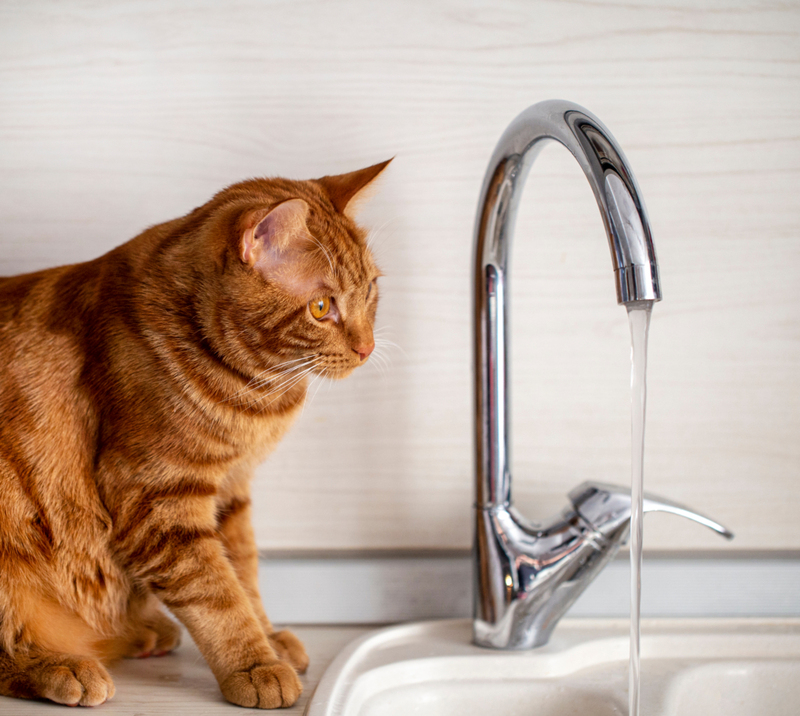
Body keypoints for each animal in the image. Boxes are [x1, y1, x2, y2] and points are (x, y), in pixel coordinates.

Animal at [0, 158, 390, 712]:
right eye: (321, 308)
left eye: (371, 291)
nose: (366, 347)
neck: (256, 393)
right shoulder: (157, 498)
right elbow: (216, 592)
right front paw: (254, 664)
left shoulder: (230, 492)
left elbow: (242, 573)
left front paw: (268, 639)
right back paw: (59, 664)